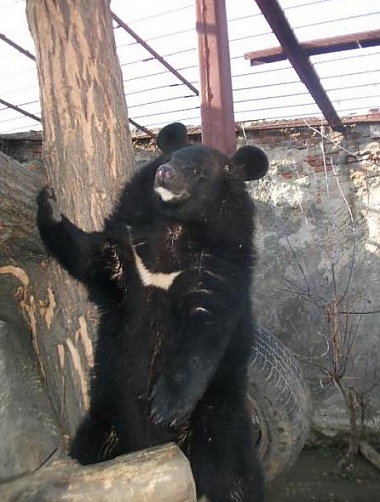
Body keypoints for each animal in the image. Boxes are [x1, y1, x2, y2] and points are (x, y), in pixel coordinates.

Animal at [35, 122, 268, 502]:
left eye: (199, 171)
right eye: (167, 158)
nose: (164, 173)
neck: (174, 227)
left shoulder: (218, 269)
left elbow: (203, 337)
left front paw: (164, 406)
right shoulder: (126, 254)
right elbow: (87, 255)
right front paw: (49, 203)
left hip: (218, 421)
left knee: (235, 479)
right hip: (105, 419)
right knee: (86, 456)